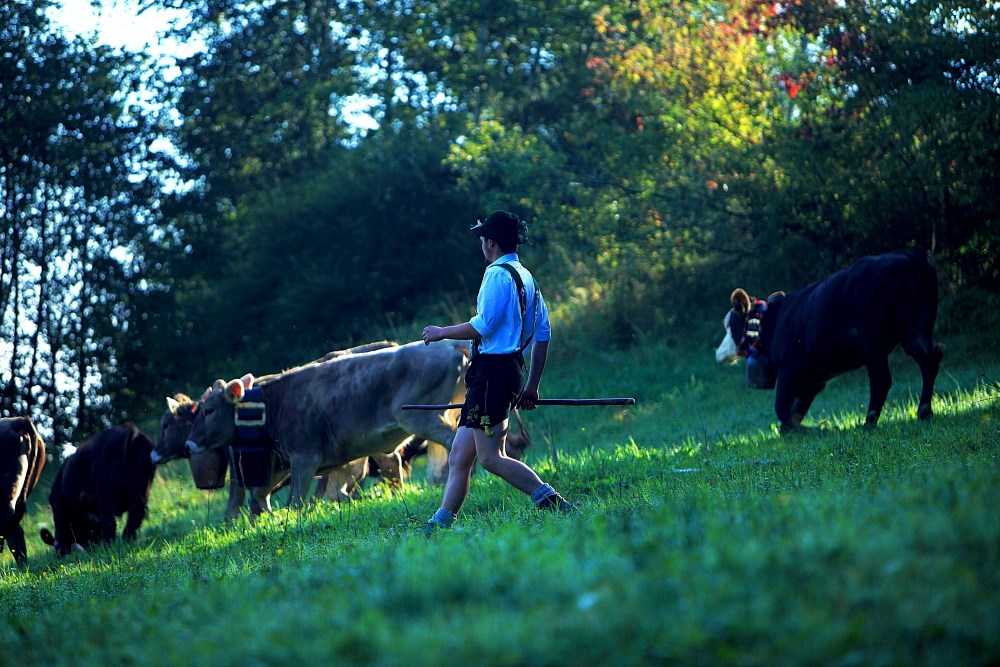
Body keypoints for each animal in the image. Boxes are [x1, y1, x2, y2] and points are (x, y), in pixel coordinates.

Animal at [40, 426, 156, 556]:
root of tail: (130, 429)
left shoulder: (59, 506)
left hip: (105, 494)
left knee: (110, 522)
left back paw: (108, 546)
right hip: (141, 491)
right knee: (135, 516)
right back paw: (126, 541)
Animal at [186, 342, 466, 516]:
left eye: (208, 410)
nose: (189, 444)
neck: (275, 402)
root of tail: (450, 345)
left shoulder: (304, 457)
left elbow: (295, 501)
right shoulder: (306, 462)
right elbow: (264, 496)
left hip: (424, 417)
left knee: (454, 445)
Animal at [716, 250, 940, 434]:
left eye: (729, 324)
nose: (718, 352)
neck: (773, 321)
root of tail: (910, 257)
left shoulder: (789, 367)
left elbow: (781, 407)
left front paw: (807, 430)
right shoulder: (812, 378)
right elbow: (796, 408)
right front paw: (792, 431)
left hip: (873, 341)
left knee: (881, 379)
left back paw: (868, 424)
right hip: (915, 329)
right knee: (930, 359)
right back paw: (924, 412)